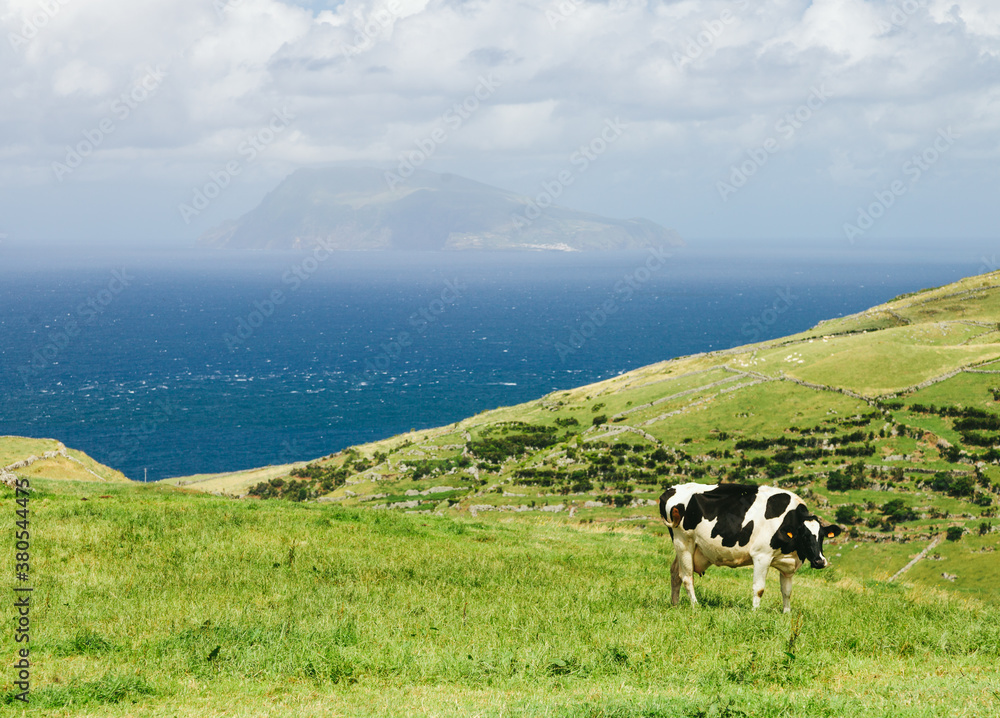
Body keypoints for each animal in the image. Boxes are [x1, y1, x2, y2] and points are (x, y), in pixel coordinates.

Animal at [659, 482, 842, 612]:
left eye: (822, 536)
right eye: (804, 536)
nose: (820, 561)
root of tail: (671, 489)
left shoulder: (787, 564)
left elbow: (787, 591)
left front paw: (786, 613)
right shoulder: (761, 556)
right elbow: (759, 588)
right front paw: (754, 612)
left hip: (688, 547)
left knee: (675, 572)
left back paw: (674, 604)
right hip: (684, 542)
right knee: (686, 577)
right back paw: (695, 606)